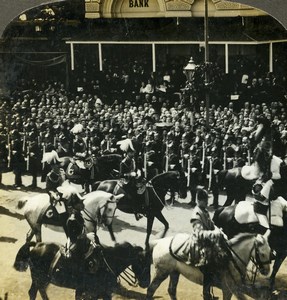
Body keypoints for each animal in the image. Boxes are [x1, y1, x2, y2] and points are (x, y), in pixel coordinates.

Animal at [14, 241, 151, 300]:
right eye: (142, 262)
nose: (146, 283)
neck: (106, 264)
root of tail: (37, 245)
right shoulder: (95, 292)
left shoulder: (101, 293)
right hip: (39, 278)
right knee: (33, 292)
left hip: (43, 280)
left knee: (40, 292)